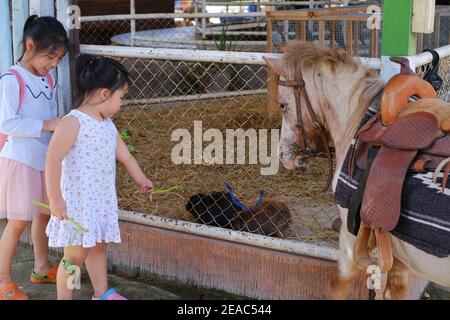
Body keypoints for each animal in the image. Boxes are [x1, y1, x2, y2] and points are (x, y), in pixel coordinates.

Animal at [262, 41, 450, 298]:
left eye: (282, 105)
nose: (283, 156)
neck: (360, 120)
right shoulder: (399, 261)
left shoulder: (350, 240)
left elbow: (337, 286)